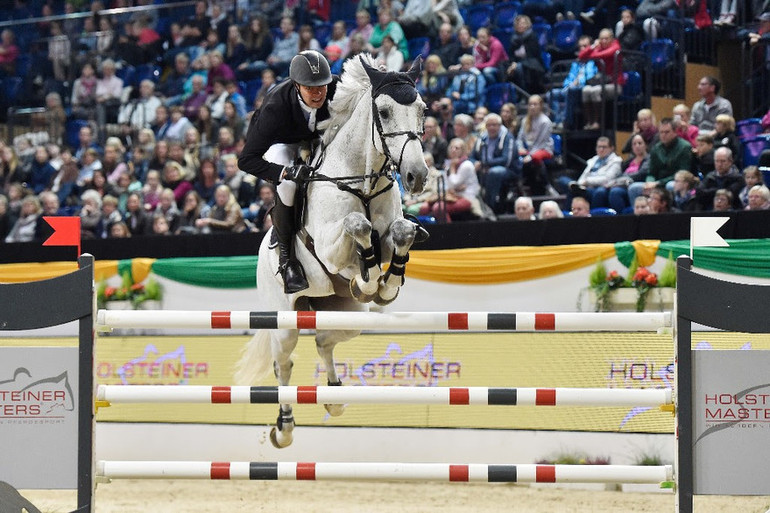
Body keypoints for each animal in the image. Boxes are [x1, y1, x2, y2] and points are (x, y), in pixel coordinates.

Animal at [234, 54, 426, 448]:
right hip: (285, 320)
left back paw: (335, 397)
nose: (417, 175)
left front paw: (385, 285)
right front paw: (369, 278)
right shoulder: (328, 246)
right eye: (384, 112)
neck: (361, 180)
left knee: (324, 340)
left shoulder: (391, 234)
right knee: (283, 363)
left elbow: (399, 233)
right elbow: (358, 226)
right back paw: (284, 427)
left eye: (421, 110)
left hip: (348, 314)